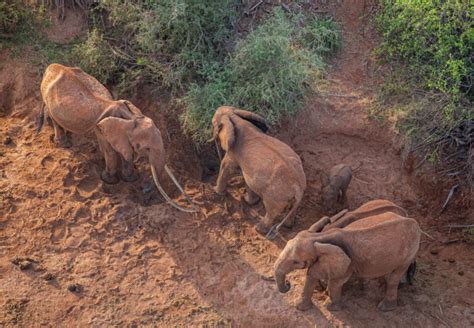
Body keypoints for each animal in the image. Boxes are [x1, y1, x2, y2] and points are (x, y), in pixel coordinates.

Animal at [38, 63, 197, 213]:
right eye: (145, 148)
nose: (145, 189)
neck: (131, 118)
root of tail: (52, 66)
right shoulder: (101, 130)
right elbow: (111, 152)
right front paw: (109, 180)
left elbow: (125, 154)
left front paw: (131, 179)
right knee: (54, 117)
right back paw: (63, 143)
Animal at [208, 106, 306, 234]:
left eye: (213, 122)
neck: (234, 118)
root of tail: (298, 188)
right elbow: (248, 180)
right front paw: (249, 201)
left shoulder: (233, 152)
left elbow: (227, 167)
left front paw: (215, 190)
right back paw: (288, 226)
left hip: (275, 196)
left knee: (271, 211)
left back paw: (259, 229)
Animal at [272, 211, 420, 312]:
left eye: (295, 262)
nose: (288, 284)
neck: (318, 236)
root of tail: (414, 221)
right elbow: (312, 274)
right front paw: (301, 307)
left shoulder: (348, 263)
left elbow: (335, 282)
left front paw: (330, 307)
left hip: (409, 252)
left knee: (394, 277)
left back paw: (384, 307)